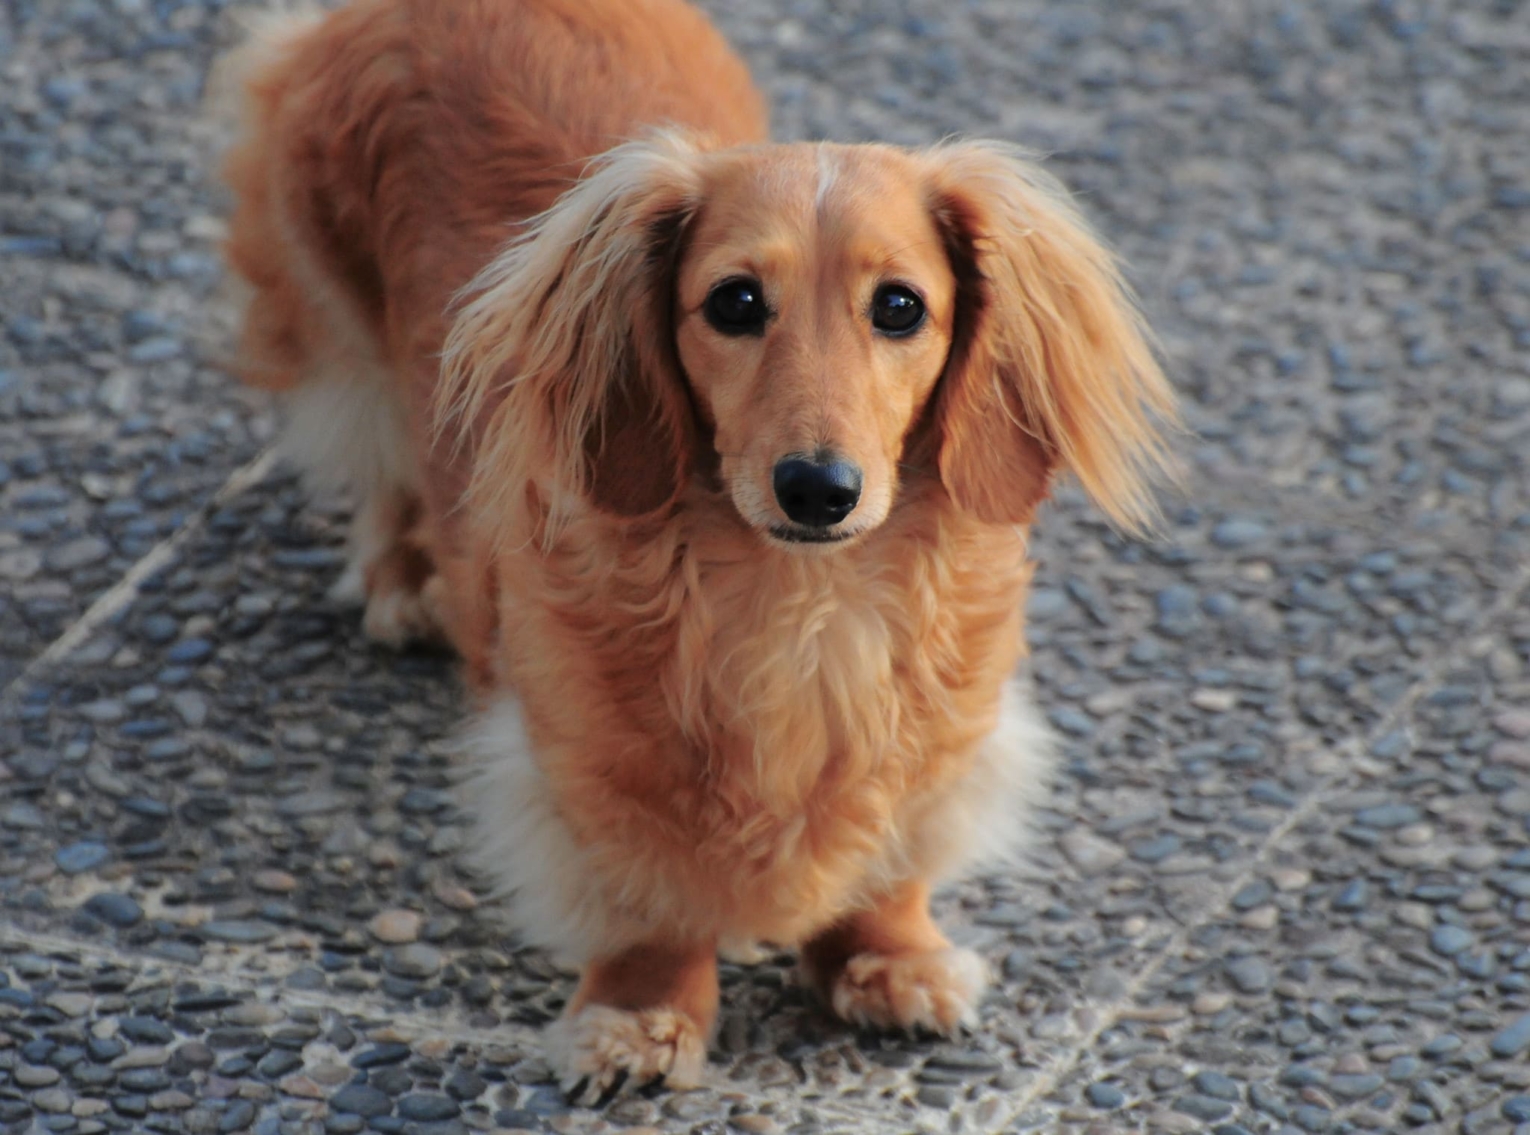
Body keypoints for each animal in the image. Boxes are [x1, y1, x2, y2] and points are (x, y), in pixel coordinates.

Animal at [215, 0, 1175, 1101]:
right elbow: (649, 902)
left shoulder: (942, 740)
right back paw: (408, 579)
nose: (818, 488)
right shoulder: (591, 763)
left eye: (900, 306)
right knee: (378, 453)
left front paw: (890, 958)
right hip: (337, 315)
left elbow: (891, 860)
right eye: (735, 302)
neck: (806, 600)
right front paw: (640, 1017)